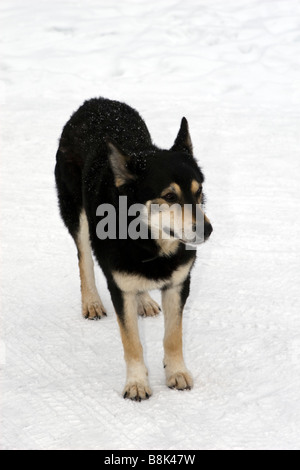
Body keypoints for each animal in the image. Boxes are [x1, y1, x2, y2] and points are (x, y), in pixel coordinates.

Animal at [54, 98, 213, 400]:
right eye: (169, 196)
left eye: (198, 191)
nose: (207, 230)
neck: (149, 242)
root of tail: (95, 101)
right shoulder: (119, 287)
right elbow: (132, 343)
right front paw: (137, 384)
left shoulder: (178, 284)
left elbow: (173, 337)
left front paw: (176, 373)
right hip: (76, 213)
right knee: (84, 259)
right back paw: (91, 302)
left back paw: (145, 301)